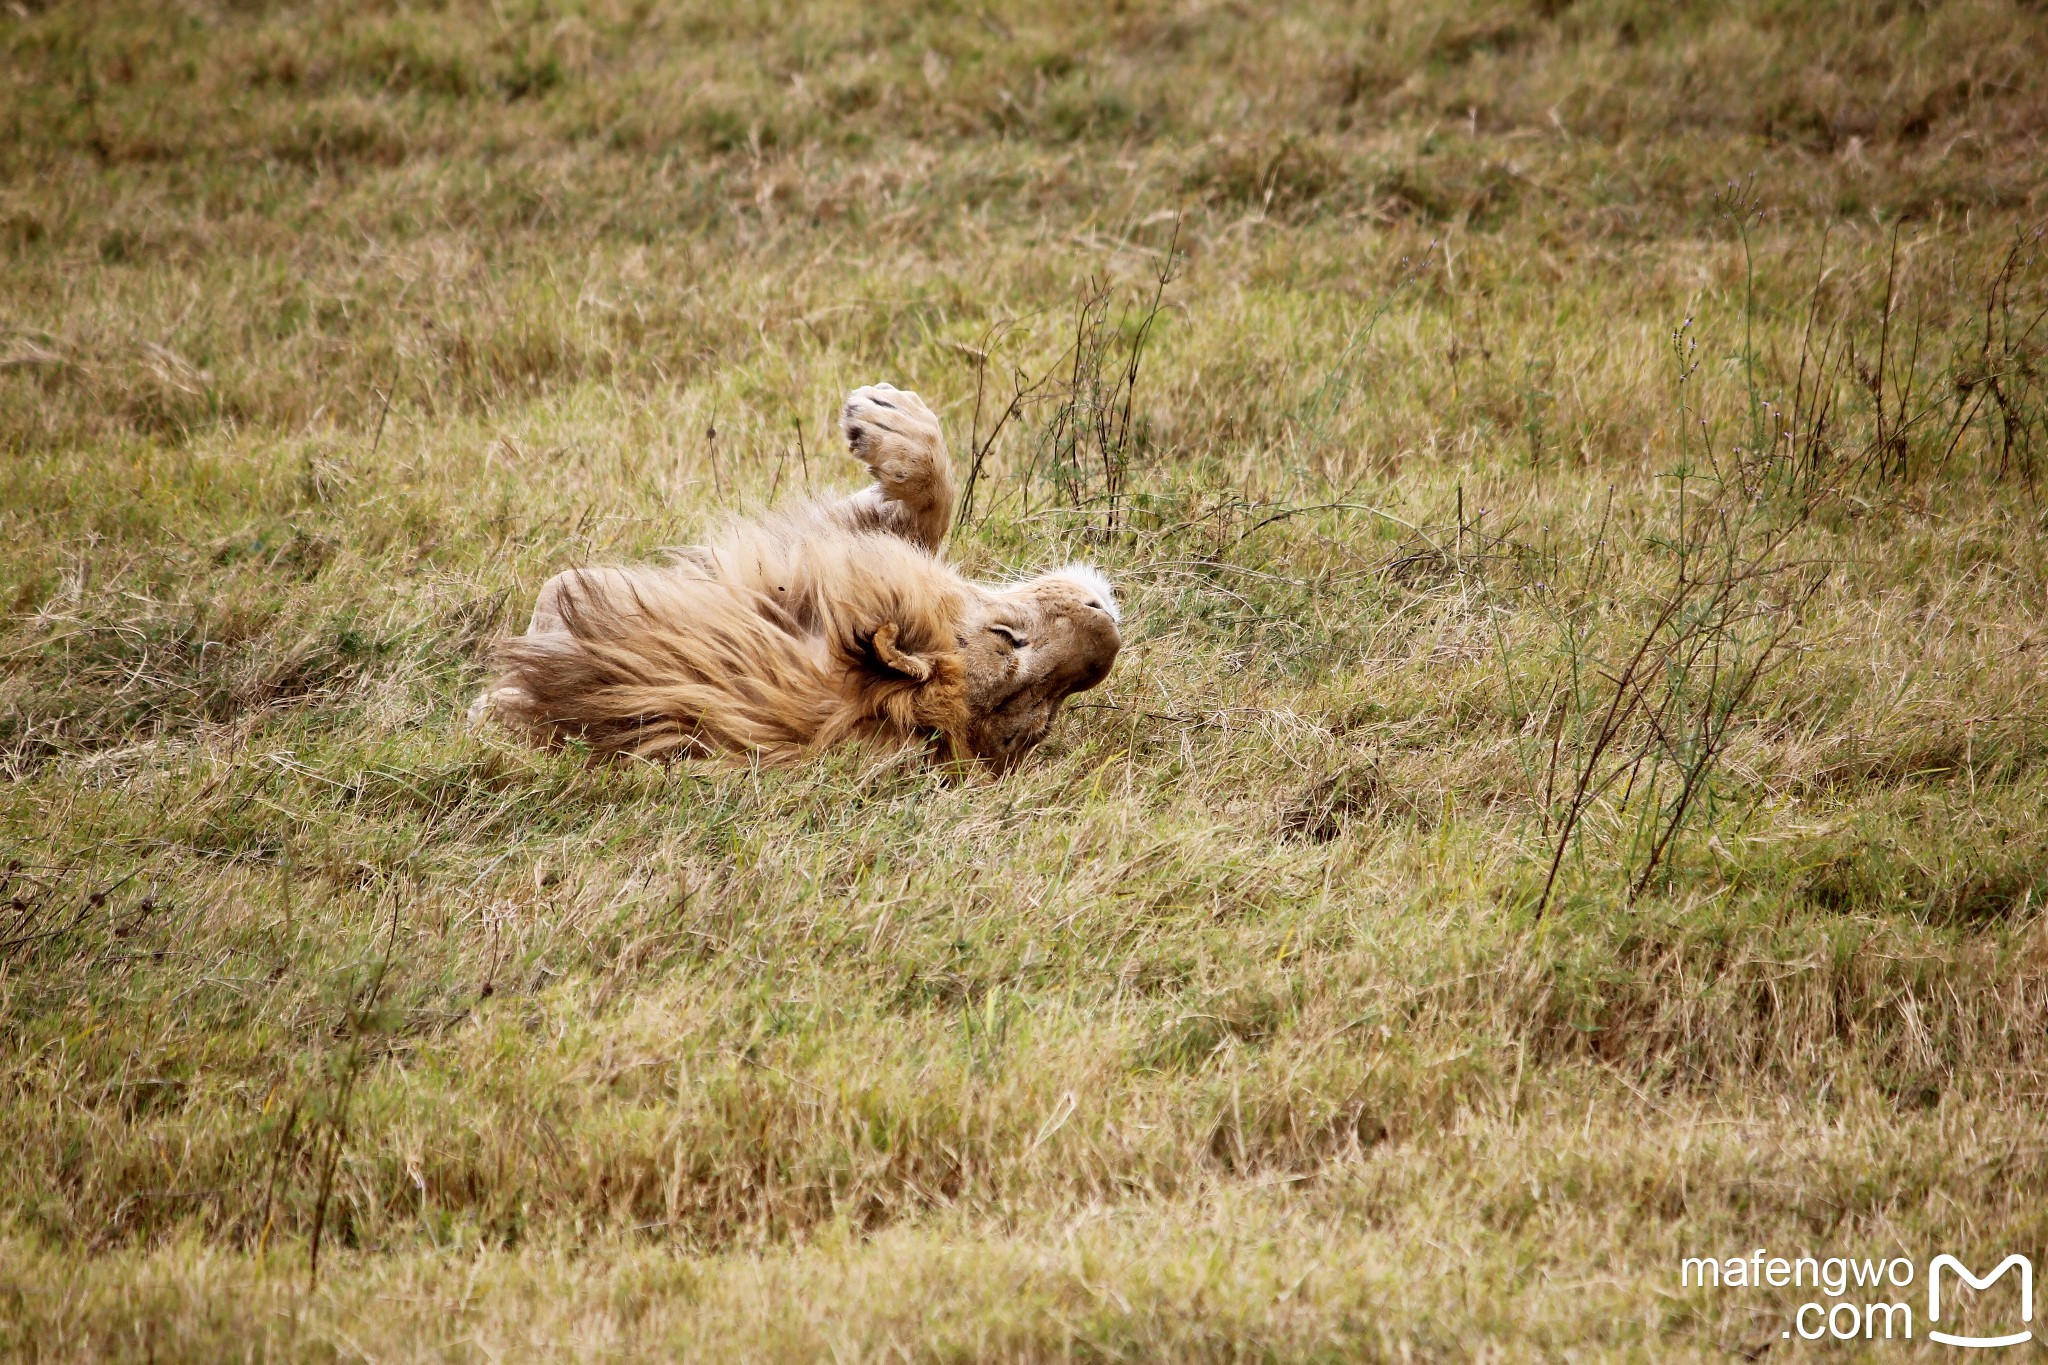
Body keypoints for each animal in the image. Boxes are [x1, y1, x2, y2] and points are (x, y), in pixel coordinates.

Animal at [468, 382, 1122, 769]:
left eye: (1038, 722)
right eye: (1007, 640)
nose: (1110, 631)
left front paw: (883, 419)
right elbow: (929, 513)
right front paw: (893, 419)